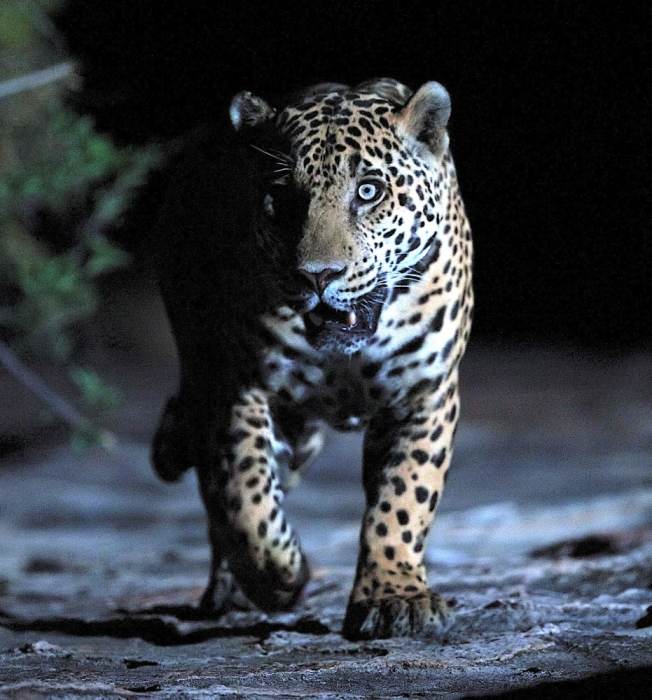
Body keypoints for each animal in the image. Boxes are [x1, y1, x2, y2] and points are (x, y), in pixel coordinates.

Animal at [150, 77, 473, 640]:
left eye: (368, 191)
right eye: (282, 198)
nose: (317, 275)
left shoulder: (423, 394)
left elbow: (403, 497)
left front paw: (394, 596)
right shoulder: (240, 388)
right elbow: (245, 496)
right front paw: (283, 576)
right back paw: (232, 589)